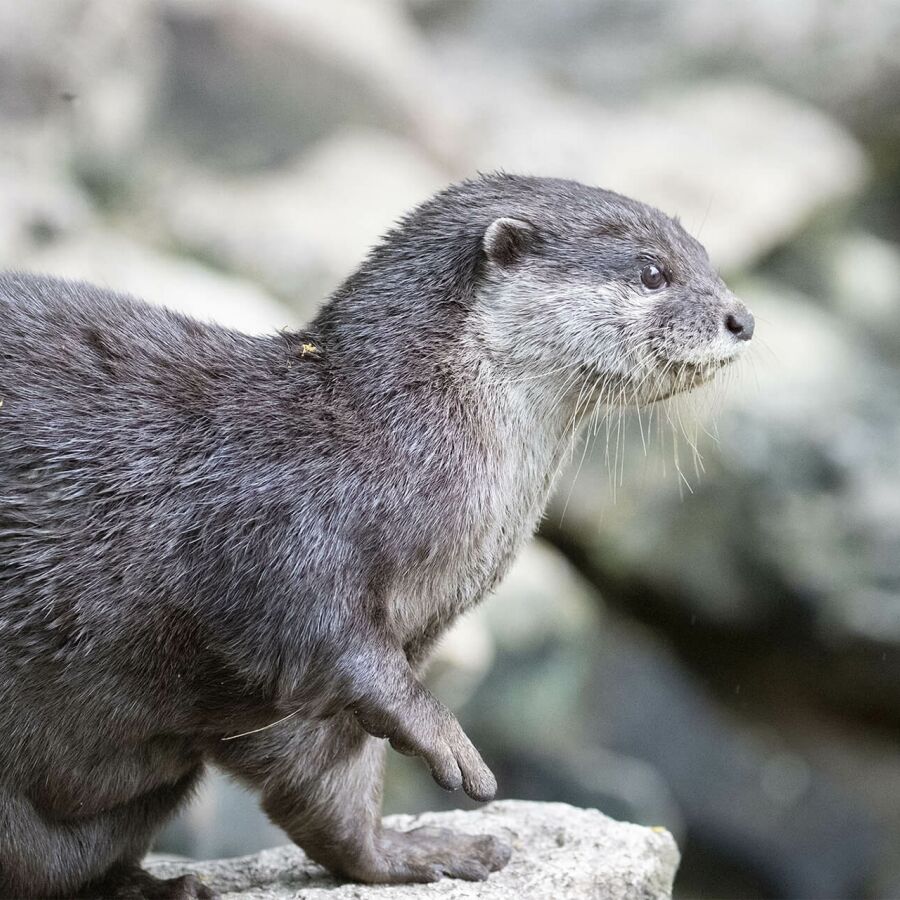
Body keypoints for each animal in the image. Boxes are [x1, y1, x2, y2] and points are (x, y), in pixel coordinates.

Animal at [0, 172, 752, 896]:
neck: (384, 444)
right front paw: (446, 740)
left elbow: (327, 777)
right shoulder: (282, 534)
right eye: (652, 272)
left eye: (707, 261)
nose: (741, 317)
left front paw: (414, 850)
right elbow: (318, 644)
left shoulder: (398, 639)